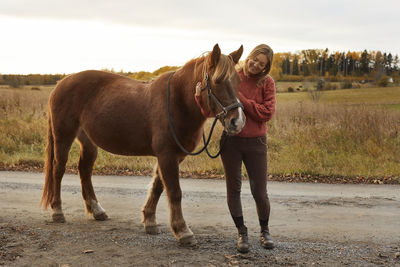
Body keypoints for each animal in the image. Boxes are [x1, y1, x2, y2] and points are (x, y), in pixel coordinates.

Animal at [42, 44, 245, 247]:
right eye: (217, 81)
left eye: (237, 81)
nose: (237, 122)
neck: (177, 102)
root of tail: (61, 83)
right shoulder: (167, 155)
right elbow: (174, 192)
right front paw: (182, 231)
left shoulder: (174, 156)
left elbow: (158, 187)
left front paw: (150, 220)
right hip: (63, 136)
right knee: (58, 169)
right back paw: (57, 211)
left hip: (88, 142)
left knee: (84, 170)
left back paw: (96, 210)